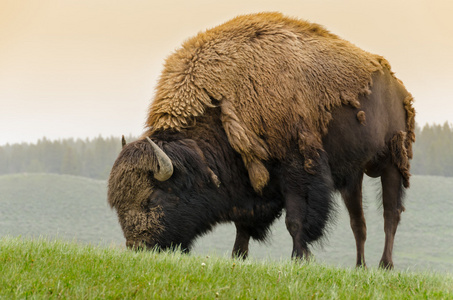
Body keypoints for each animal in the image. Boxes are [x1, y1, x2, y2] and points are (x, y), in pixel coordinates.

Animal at [108, 12, 414, 270]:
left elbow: (295, 220)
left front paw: (299, 259)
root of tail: (398, 86)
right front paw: (238, 257)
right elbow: (244, 224)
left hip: (391, 163)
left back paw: (385, 266)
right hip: (353, 175)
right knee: (358, 222)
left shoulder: (297, 170)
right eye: (119, 203)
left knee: (390, 215)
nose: (139, 247)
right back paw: (360, 267)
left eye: (152, 199)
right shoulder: (250, 179)